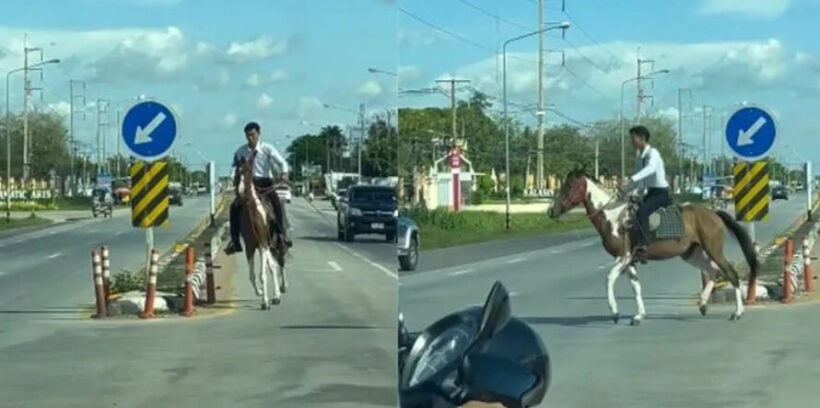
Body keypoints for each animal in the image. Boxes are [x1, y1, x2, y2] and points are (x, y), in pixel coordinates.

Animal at [548, 169, 760, 326]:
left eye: (569, 186)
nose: (551, 211)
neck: (613, 217)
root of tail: (714, 213)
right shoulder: (629, 260)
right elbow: (636, 287)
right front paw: (638, 315)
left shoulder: (623, 257)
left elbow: (609, 279)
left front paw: (615, 312)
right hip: (691, 253)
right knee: (711, 271)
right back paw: (702, 304)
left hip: (713, 249)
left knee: (730, 273)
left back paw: (737, 313)